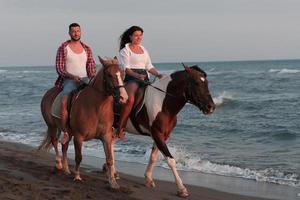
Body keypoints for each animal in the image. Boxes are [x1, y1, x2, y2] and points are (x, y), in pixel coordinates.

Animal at [39, 56, 127, 189]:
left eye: (122, 74)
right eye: (110, 75)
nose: (123, 97)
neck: (96, 108)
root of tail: (48, 93)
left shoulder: (106, 136)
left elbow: (110, 158)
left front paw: (113, 182)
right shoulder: (79, 137)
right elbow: (79, 157)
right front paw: (77, 177)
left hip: (68, 132)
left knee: (64, 146)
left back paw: (66, 169)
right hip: (52, 126)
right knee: (55, 142)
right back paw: (59, 165)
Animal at [113, 64, 216, 197]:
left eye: (206, 83)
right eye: (197, 83)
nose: (211, 107)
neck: (163, 104)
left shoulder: (162, 135)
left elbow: (153, 157)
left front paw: (148, 179)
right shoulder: (157, 134)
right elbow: (170, 160)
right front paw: (181, 188)